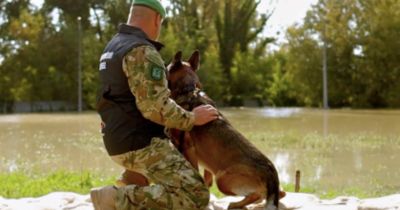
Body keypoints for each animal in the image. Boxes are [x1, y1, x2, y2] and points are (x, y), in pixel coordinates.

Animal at [166, 50, 282, 210]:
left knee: (257, 195)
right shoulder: (204, 163)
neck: (188, 90)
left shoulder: (186, 148)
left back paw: (236, 204)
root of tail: (271, 173)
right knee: (275, 195)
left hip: (222, 179)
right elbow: (207, 180)